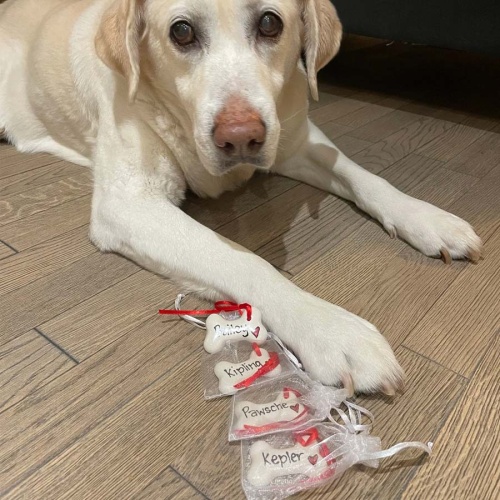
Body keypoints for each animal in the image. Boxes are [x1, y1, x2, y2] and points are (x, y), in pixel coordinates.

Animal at [0, 1, 482, 396]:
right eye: (181, 32)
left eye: (270, 23)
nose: (240, 137)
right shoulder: (129, 205)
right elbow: (244, 261)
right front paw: (332, 330)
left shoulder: (296, 139)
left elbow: (365, 177)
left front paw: (428, 219)